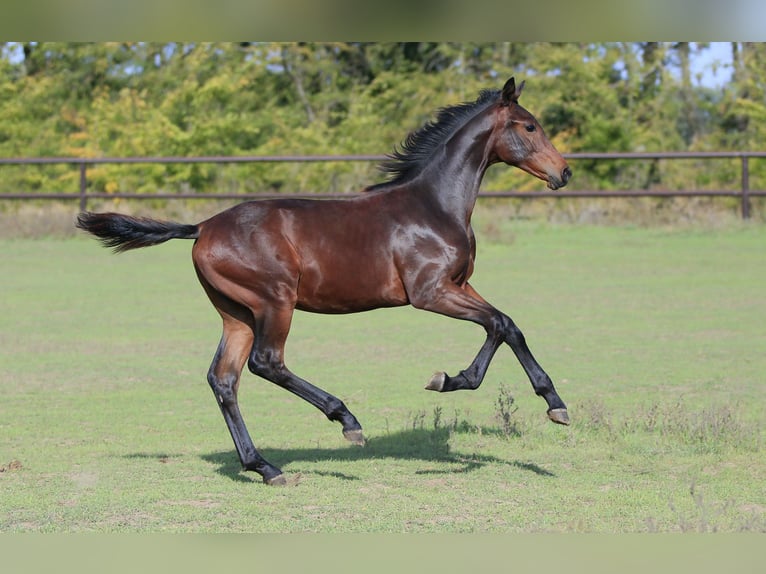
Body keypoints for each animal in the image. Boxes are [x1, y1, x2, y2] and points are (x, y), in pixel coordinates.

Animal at [78, 77, 572, 486]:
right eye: (529, 126)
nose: (564, 172)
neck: (433, 206)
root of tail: (201, 228)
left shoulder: (459, 285)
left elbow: (505, 326)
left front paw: (465, 382)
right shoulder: (431, 293)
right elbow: (501, 323)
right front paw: (544, 402)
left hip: (237, 314)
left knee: (224, 379)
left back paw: (265, 467)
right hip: (275, 302)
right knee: (266, 363)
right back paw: (346, 421)